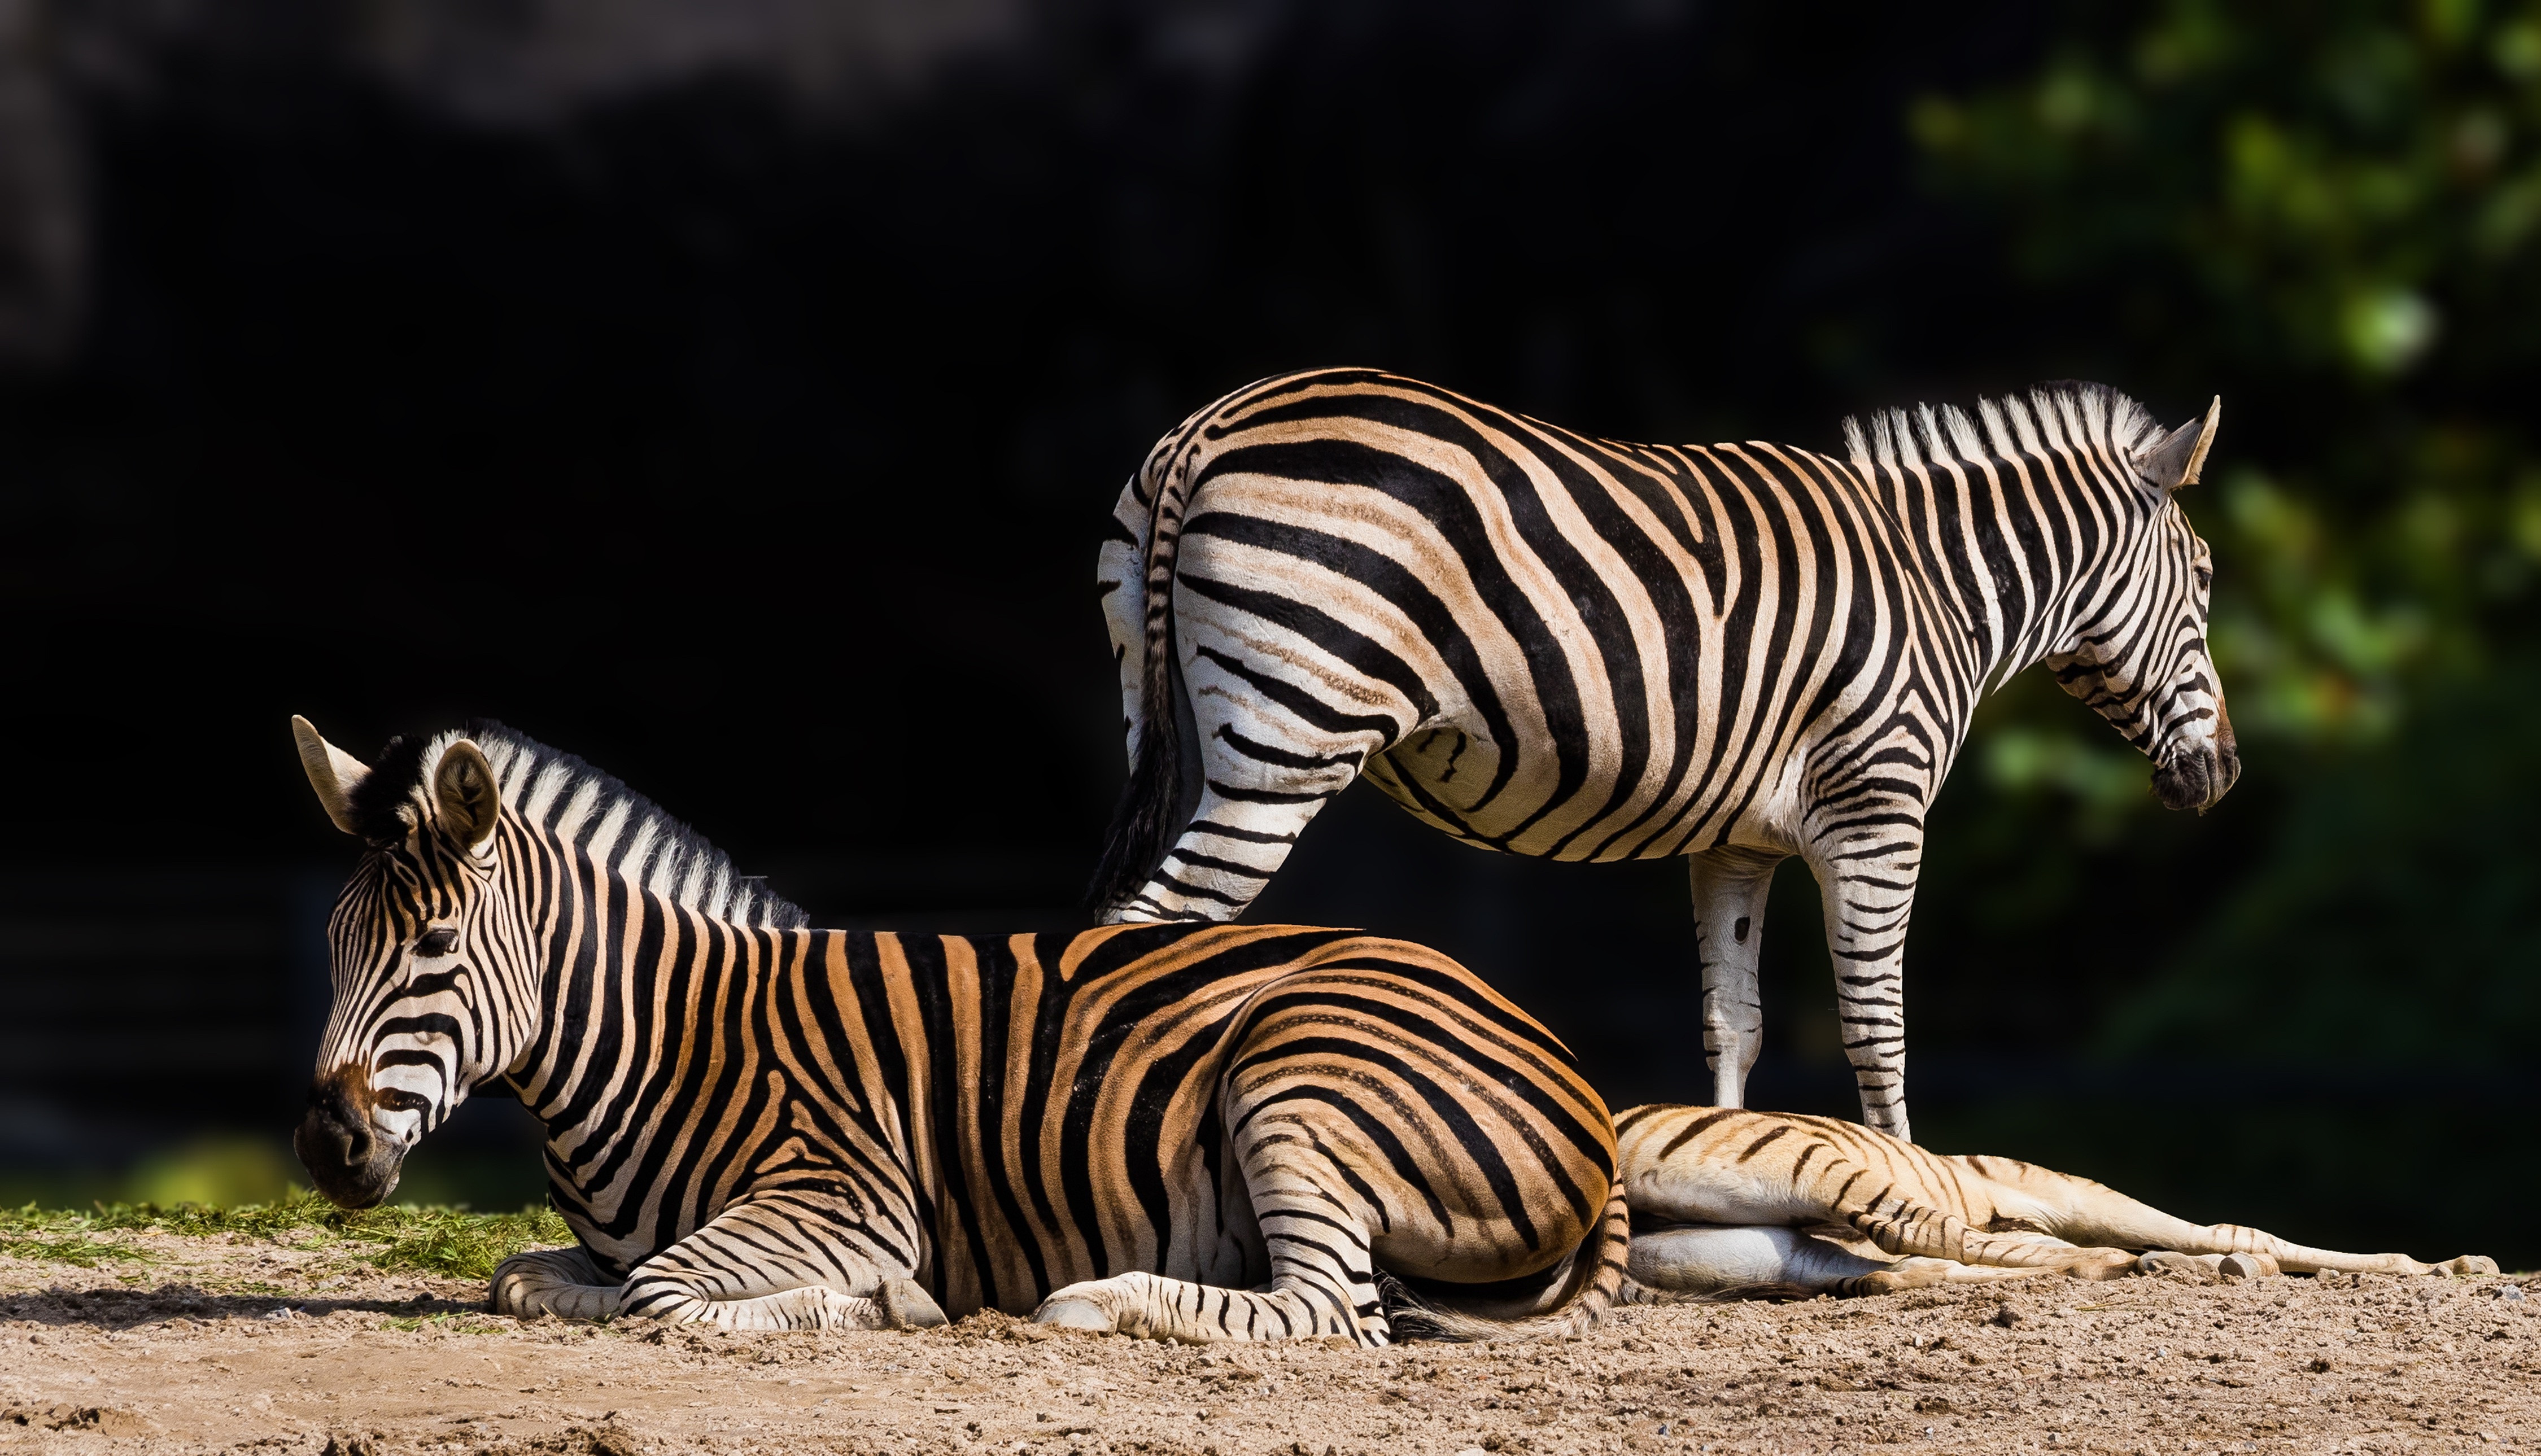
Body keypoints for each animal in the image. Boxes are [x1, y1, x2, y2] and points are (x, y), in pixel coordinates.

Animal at [286, 715, 1627, 1341]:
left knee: (1333, 1308)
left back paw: (1098, 1298)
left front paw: (886, 1302)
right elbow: (526, 1277)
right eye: (334, 942)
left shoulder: (848, 1191)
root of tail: (1566, 1061)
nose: (323, 1147)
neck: (659, 1037)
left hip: (1296, 1072)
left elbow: (664, 1291)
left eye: (432, 946)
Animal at [1089, 368, 2235, 1142]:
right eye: (2209, 579)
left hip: (1166, 715)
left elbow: (1736, 1021)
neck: (1933, 580)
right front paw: (1921, 1197)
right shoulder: (1879, 807)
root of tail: (1211, 424)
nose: (2222, 773)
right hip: (1287, 742)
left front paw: (1729, 1164)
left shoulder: (1738, 842)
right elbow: (1877, 1021)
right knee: (1154, 932)